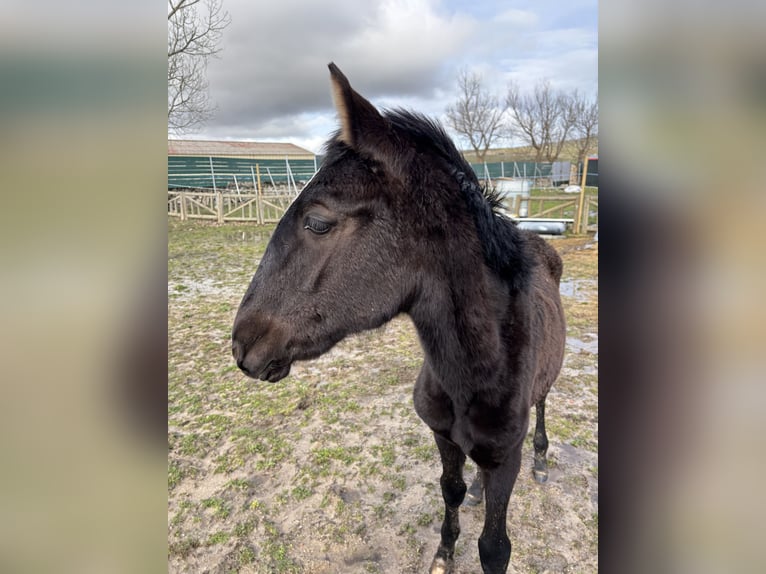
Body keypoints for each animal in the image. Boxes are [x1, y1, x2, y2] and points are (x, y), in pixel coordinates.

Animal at [234, 63, 568, 574]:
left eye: (318, 222)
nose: (241, 343)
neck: (474, 373)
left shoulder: (505, 458)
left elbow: (494, 547)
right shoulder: (443, 437)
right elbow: (450, 490)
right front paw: (444, 553)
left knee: (545, 405)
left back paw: (544, 461)